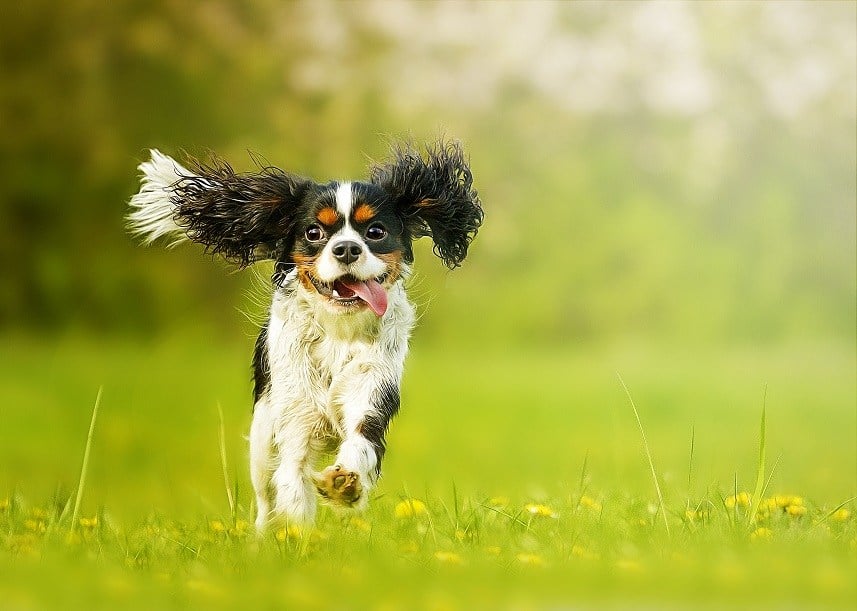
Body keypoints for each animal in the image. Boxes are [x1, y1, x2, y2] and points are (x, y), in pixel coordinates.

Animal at [127, 141, 482, 528]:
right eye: (314, 233)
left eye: (375, 232)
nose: (346, 248)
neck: (338, 329)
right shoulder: (295, 419)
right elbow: (293, 484)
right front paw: (297, 538)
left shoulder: (370, 391)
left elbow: (360, 442)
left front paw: (344, 484)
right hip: (262, 438)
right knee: (265, 499)